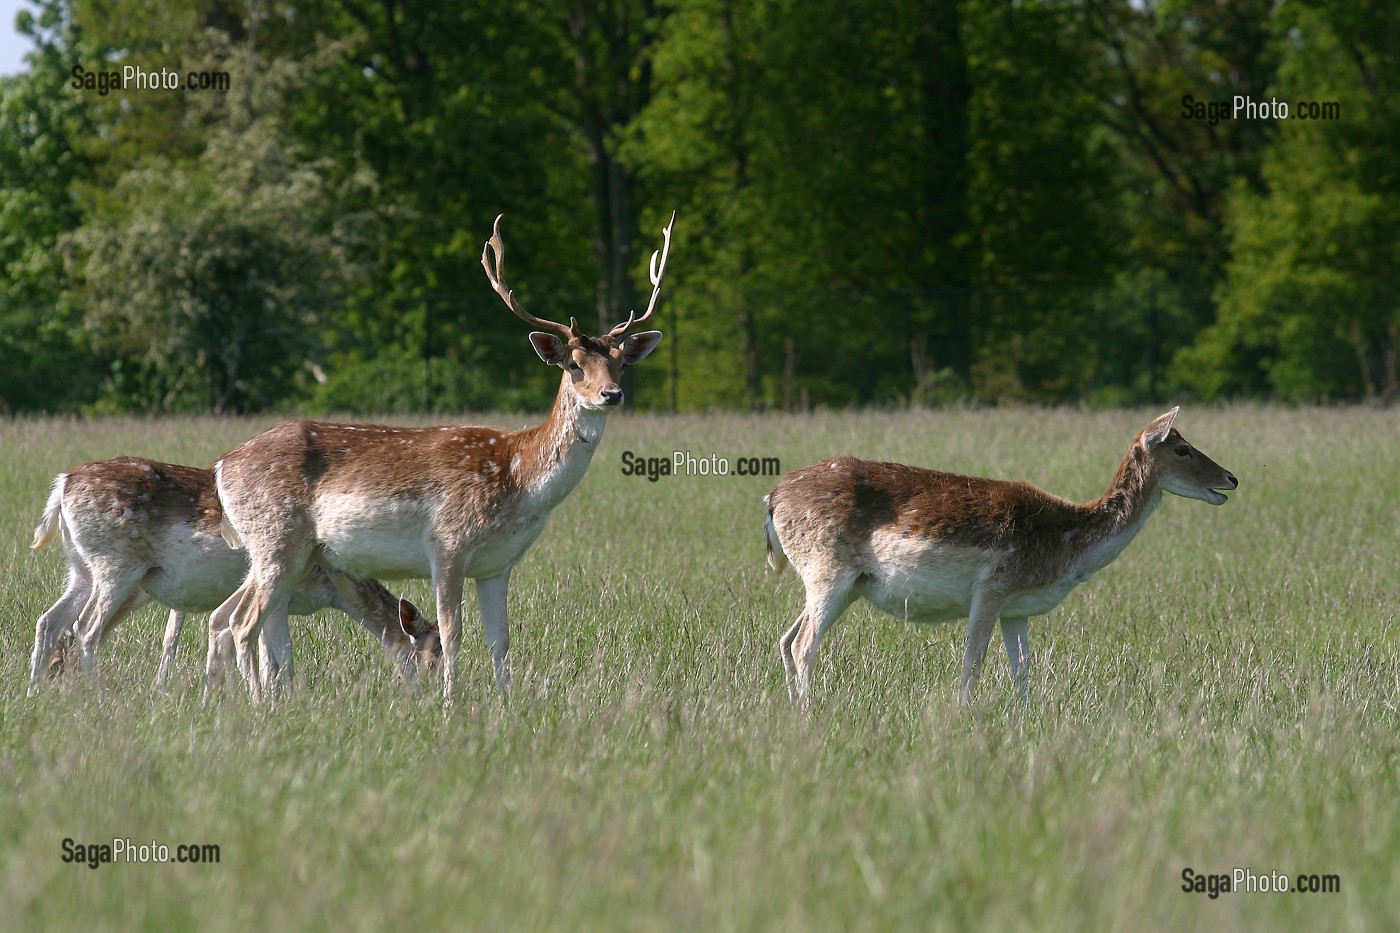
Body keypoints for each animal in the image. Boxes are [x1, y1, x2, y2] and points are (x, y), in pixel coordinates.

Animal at [28, 453, 442, 694]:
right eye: (432, 658)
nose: (430, 695)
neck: (336, 589)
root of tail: (62, 486)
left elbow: (268, 652)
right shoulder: (284, 593)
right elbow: (279, 656)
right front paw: (279, 700)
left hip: (81, 567)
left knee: (50, 620)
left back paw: (35, 694)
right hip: (115, 567)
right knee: (86, 628)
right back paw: (94, 698)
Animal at [210, 210, 674, 697]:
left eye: (622, 363)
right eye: (573, 364)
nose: (612, 394)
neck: (519, 482)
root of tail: (222, 466)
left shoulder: (497, 565)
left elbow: (500, 640)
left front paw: (507, 703)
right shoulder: (447, 543)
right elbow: (453, 634)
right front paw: (450, 702)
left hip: (281, 552)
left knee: (230, 618)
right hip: (276, 539)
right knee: (242, 622)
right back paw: (258, 702)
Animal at [767, 406, 1237, 706]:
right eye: (1181, 449)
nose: (1231, 478)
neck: (1068, 547)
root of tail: (771, 498)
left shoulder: (1018, 608)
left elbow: (1023, 670)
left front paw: (1023, 720)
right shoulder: (993, 587)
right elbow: (973, 660)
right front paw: (965, 715)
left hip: (842, 584)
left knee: (787, 639)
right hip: (827, 570)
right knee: (805, 643)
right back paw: (811, 714)